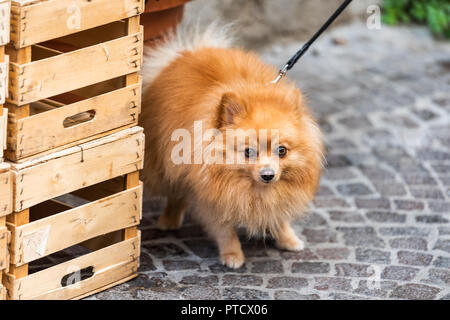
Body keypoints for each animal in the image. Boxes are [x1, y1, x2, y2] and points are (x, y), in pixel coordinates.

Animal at [141, 23, 324, 268]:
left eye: (282, 151)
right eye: (248, 152)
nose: (268, 175)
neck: (252, 189)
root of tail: (186, 53)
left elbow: (279, 215)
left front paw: (287, 238)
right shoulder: (210, 195)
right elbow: (224, 229)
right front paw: (232, 255)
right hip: (164, 166)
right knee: (174, 191)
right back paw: (169, 219)